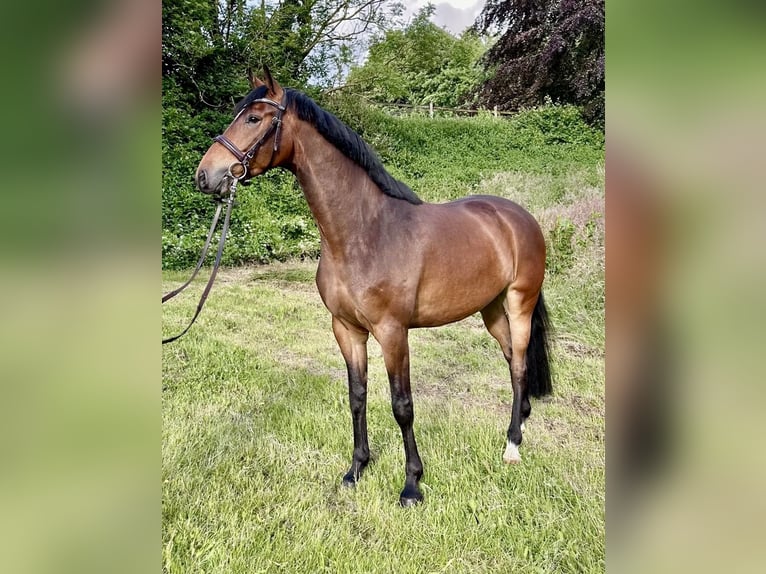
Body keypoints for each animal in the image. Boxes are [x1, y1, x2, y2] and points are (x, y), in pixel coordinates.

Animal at [194, 68, 552, 508]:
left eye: (254, 118)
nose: (205, 175)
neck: (363, 233)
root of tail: (519, 217)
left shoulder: (393, 332)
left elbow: (402, 405)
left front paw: (412, 484)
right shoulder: (347, 330)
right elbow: (357, 396)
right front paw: (356, 469)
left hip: (520, 304)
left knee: (518, 367)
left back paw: (512, 445)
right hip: (492, 310)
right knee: (512, 362)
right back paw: (520, 424)